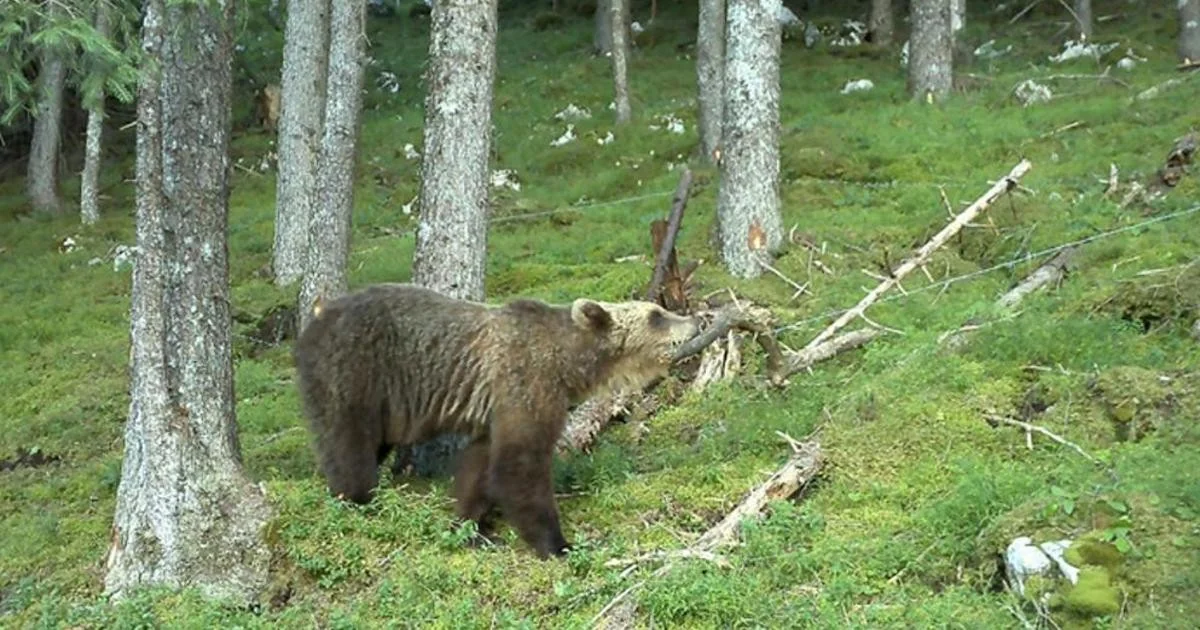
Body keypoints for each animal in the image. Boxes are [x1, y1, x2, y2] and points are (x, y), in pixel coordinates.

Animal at [292, 282, 701, 558]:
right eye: (656, 315)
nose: (695, 320)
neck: (569, 365)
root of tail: (315, 320)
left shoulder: (495, 411)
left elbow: (481, 466)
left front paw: (471, 526)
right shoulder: (525, 385)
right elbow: (519, 468)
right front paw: (558, 543)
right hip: (355, 372)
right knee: (349, 443)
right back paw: (357, 497)